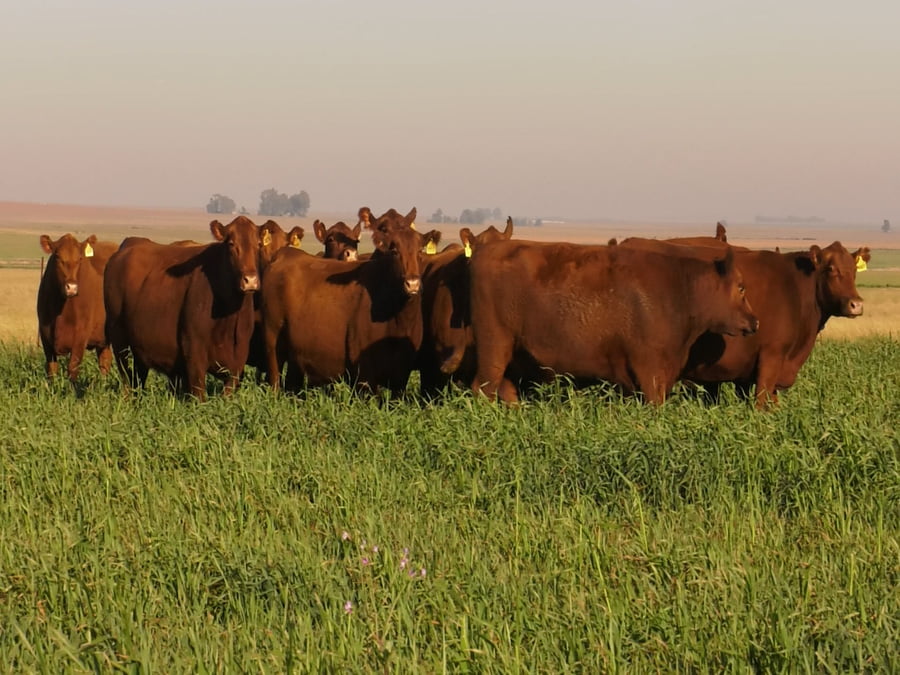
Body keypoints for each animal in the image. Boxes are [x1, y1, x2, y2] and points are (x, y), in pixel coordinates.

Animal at [37, 233, 118, 382]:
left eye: (80, 258)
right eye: (57, 257)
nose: (71, 287)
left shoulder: (81, 334)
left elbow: (73, 368)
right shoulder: (45, 334)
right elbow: (51, 369)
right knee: (105, 360)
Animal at [103, 216, 261, 400]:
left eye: (258, 244)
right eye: (231, 244)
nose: (250, 280)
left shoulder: (237, 362)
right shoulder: (194, 354)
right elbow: (200, 396)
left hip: (138, 346)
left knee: (138, 378)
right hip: (119, 338)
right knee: (126, 378)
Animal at [261, 207, 440, 395]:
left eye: (420, 251)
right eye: (395, 251)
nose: (412, 283)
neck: (398, 318)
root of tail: (284, 255)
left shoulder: (402, 374)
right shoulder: (364, 374)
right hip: (273, 341)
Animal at [469, 240, 758, 404]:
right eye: (741, 287)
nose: (755, 321)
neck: (681, 291)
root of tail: (486, 251)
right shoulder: (650, 372)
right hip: (494, 346)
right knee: (483, 388)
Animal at [619, 236, 870, 408]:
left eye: (853, 271)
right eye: (831, 269)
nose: (856, 304)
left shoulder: (747, 371)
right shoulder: (771, 356)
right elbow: (762, 405)